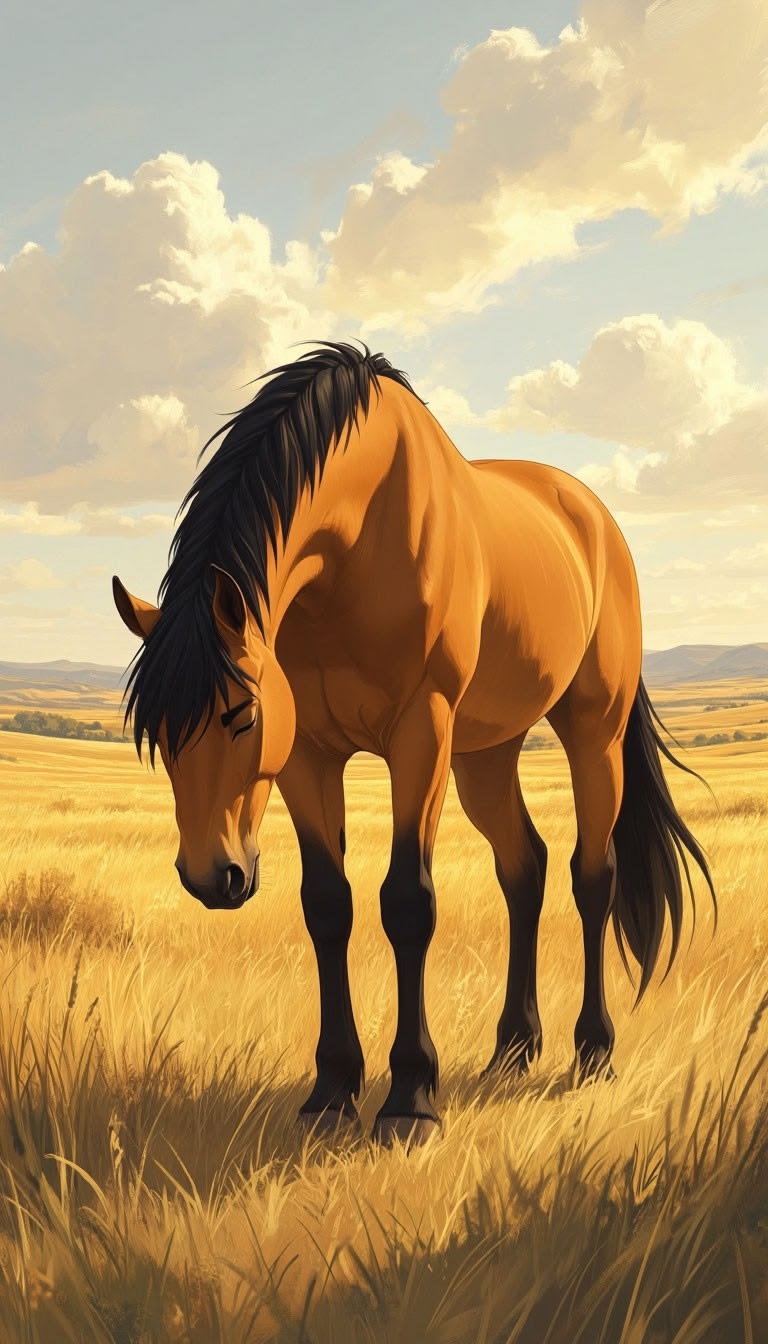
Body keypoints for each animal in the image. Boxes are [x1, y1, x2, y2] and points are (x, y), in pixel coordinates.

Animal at [113, 341, 715, 1145]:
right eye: (156, 737)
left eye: (240, 714)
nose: (214, 878)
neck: (357, 538)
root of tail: (592, 514)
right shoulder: (308, 754)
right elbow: (327, 904)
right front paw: (331, 1091)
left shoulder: (419, 734)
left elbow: (408, 902)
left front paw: (410, 1100)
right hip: (486, 754)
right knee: (525, 868)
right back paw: (512, 1049)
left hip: (594, 732)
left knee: (594, 876)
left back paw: (592, 1053)